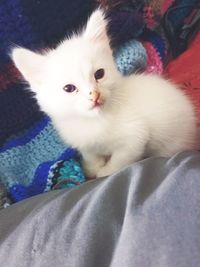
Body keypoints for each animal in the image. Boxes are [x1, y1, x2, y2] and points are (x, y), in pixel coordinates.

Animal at [12, 9, 197, 179]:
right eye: (69, 88)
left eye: (99, 74)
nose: (94, 95)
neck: (93, 122)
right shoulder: (83, 142)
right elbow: (90, 154)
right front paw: (91, 168)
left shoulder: (135, 137)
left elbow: (121, 159)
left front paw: (105, 172)